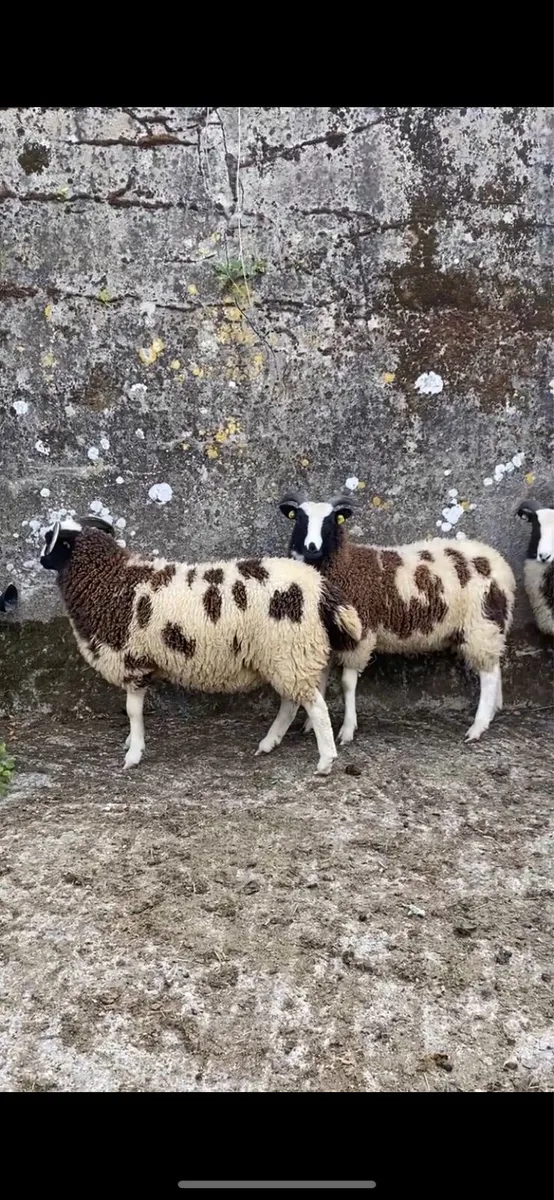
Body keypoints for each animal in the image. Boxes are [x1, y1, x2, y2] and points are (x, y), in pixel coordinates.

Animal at [39, 516, 362, 775]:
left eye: (49, 540)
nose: (40, 560)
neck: (109, 580)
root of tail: (319, 586)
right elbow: (134, 711)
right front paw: (132, 741)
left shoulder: (133, 660)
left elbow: (132, 711)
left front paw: (133, 753)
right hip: (289, 654)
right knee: (293, 701)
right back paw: (269, 743)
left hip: (289, 651)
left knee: (315, 706)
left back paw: (325, 761)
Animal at [279, 491, 516, 745]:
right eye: (299, 519)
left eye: (331, 521)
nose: (312, 547)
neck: (347, 564)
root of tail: (500, 563)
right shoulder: (330, 636)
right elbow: (321, 679)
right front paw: (310, 724)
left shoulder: (361, 634)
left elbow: (347, 685)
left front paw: (347, 730)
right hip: (489, 625)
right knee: (495, 664)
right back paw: (493, 712)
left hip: (481, 623)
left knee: (488, 675)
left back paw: (477, 727)